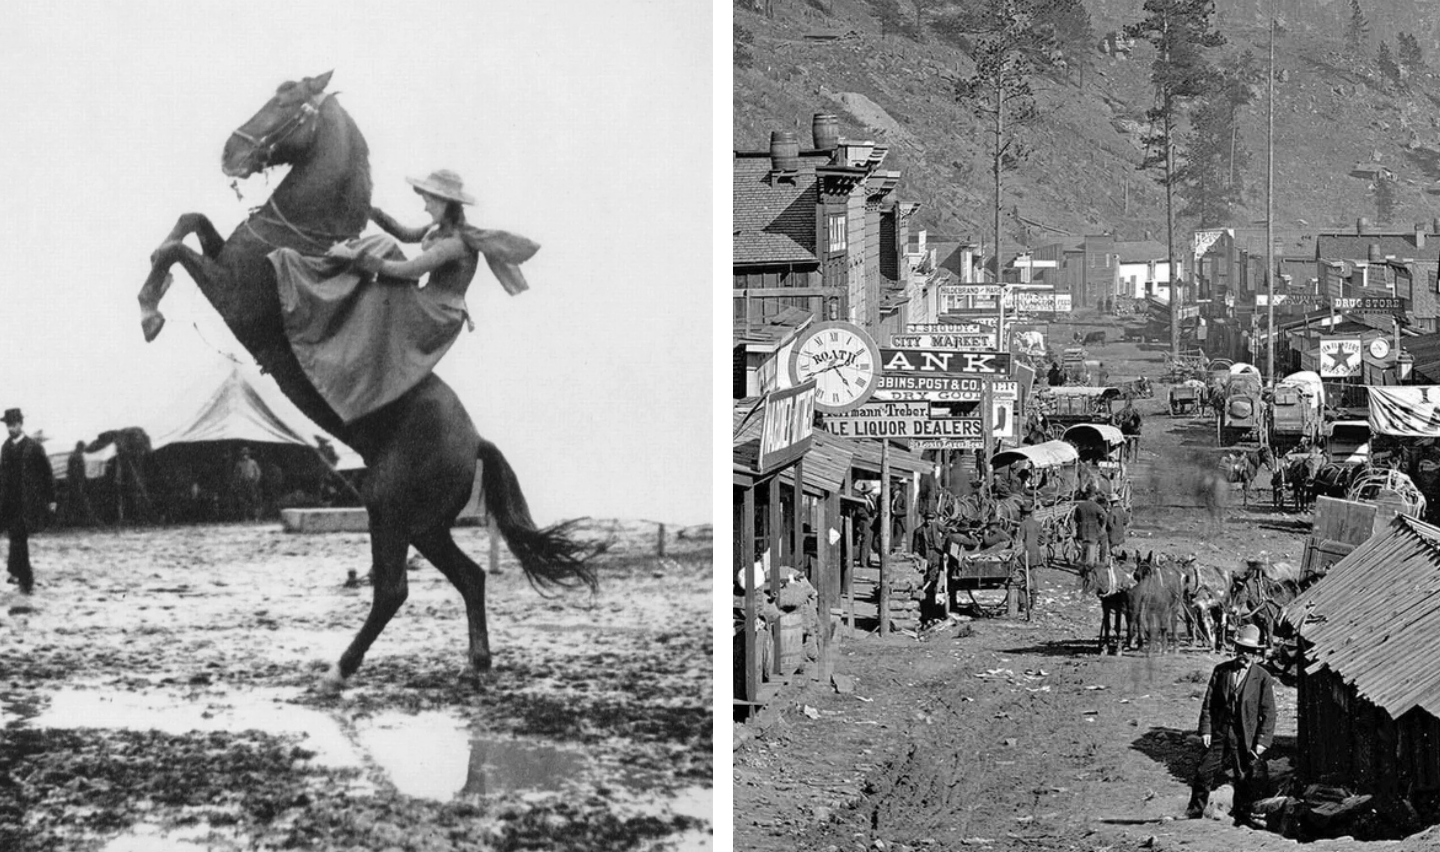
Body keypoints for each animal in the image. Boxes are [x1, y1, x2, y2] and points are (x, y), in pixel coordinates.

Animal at [135, 69, 596, 687]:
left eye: (286, 102)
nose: (230, 153)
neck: (300, 238)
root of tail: (476, 441)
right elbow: (191, 222)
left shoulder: (229, 292)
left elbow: (174, 248)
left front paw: (149, 310)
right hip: (425, 526)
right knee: (469, 576)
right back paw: (476, 663)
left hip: (390, 511)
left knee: (393, 589)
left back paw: (339, 670)